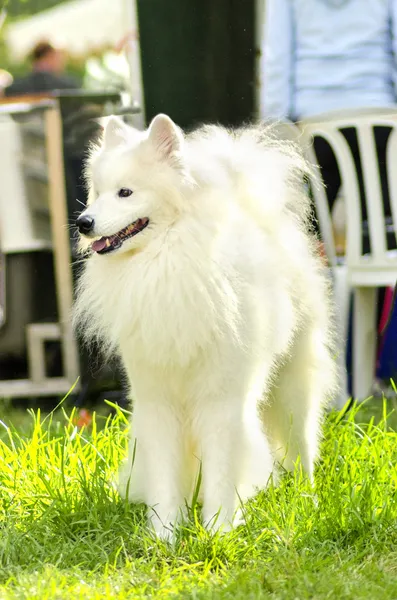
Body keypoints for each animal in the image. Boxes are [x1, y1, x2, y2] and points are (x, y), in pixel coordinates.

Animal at [72, 112, 336, 540]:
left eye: (125, 193)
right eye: (97, 193)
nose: (84, 222)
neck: (166, 262)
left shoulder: (221, 398)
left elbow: (223, 468)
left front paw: (218, 530)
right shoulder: (157, 398)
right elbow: (165, 471)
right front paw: (165, 534)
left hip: (293, 385)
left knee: (302, 448)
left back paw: (307, 501)